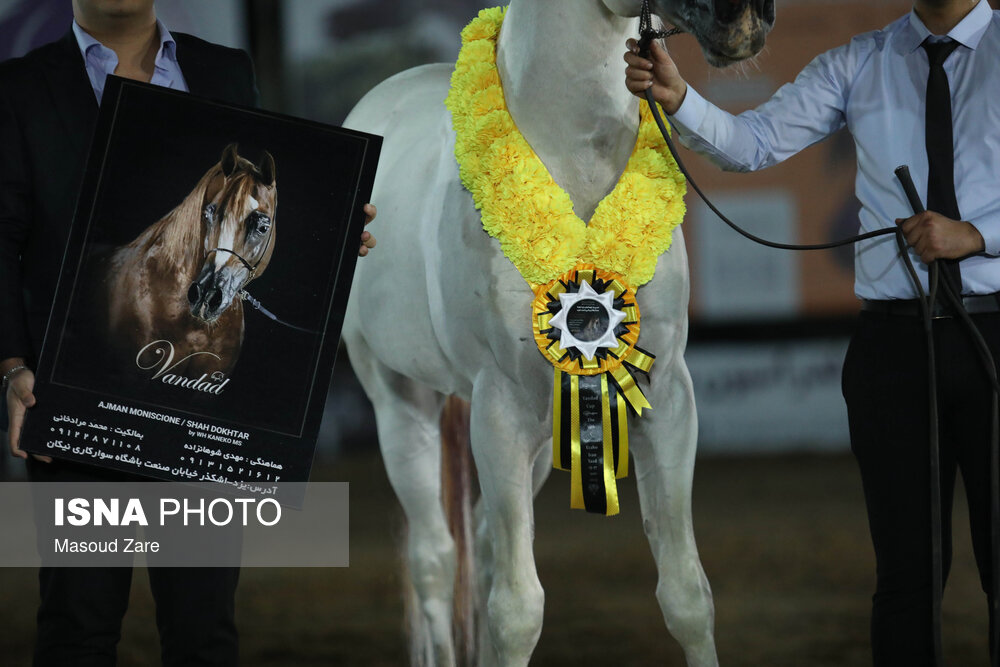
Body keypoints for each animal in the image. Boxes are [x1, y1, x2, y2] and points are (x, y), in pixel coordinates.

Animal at [344, 2, 772, 664]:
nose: (746, 18)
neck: (574, 160)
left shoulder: (667, 396)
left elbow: (687, 596)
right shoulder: (499, 408)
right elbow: (518, 612)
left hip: (544, 431)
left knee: (484, 547)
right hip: (399, 401)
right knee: (434, 559)